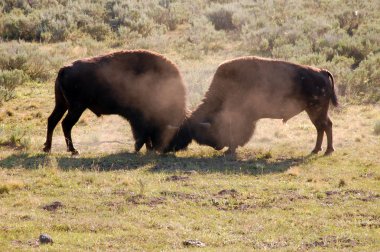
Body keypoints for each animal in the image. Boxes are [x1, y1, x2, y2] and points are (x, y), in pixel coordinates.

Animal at [43, 50, 187, 155]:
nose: (174, 148)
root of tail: (64, 68)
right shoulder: (139, 118)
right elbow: (142, 133)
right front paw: (140, 148)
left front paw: (147, 149)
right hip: (76, 108)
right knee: (66, 124)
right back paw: (73, 150)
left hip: (62, 104)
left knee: (53, 120)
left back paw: (48, 148)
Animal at [174, 56, 336, 156]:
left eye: (206, 132)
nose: (217, 146)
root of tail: (322, 71)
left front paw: (230, 150)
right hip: (315, 111)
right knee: (323, 127)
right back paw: (317, 150)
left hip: (316, 110)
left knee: (324, 126)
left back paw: (326, 150)